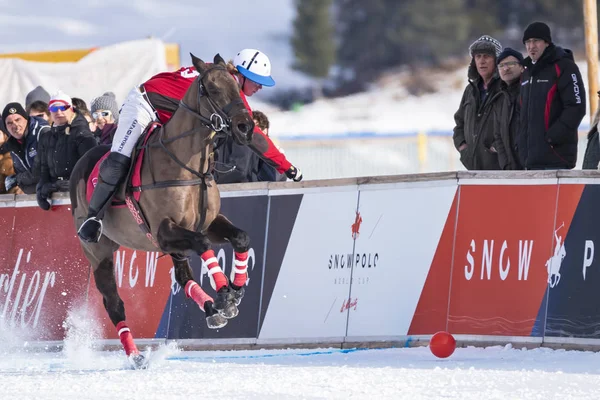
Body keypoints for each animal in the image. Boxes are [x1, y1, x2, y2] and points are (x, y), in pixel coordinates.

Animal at [69, 54, 256, 368]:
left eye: (238, 89)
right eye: (214, 90)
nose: (245, 127)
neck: (190, 164)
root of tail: (80, 162)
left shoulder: (206, 223)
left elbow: (240, 237)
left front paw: (236, 291)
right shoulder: (164, 230)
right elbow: (202, 243)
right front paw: (224, 295)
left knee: (183, 277)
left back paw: (211, 311)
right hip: (98, 252)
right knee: (114, 303)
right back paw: (136, 356)